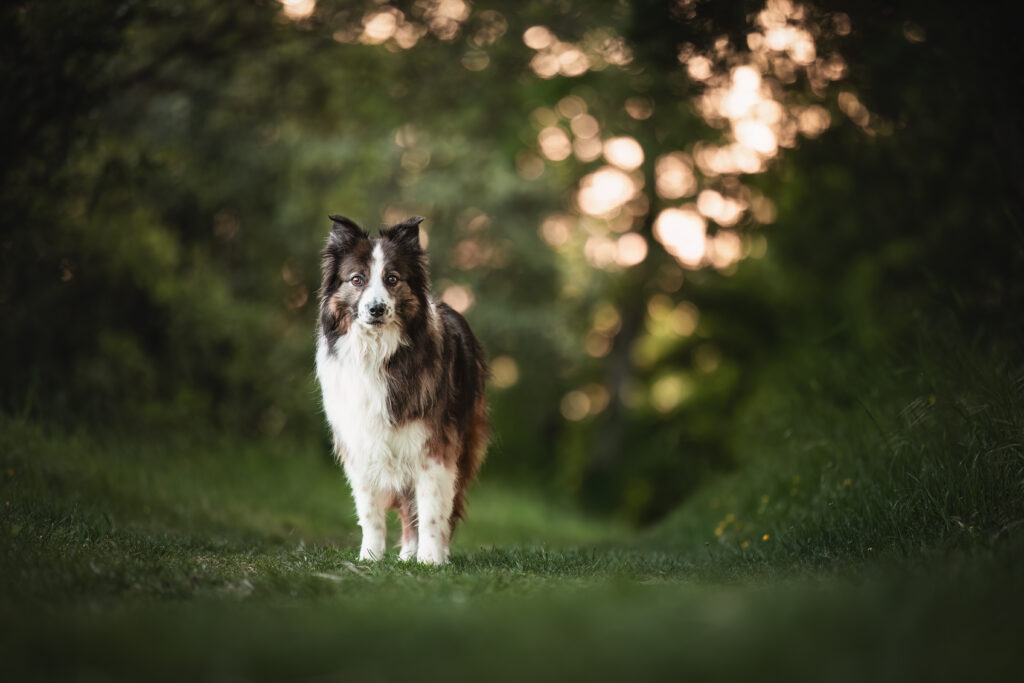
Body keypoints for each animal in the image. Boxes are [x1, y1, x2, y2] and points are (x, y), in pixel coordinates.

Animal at [315, 215, 487, 565]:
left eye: (392, 279)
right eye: (357, 279)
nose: (376, 309)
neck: (378, 352)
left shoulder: (434, 446)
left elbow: (433, 510)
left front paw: (432, 560)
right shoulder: (362, 443)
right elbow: (369, 510)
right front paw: (370, 557)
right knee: (408, 511)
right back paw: (407, 553)